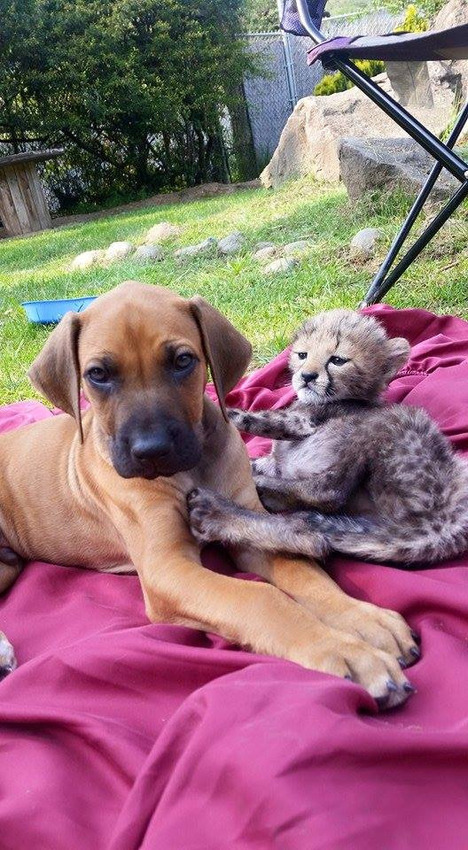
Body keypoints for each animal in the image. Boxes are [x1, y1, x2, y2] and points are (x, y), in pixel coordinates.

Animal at [0, 282, 416, 704]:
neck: (189, 471)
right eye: (97, 374)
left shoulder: (251, 527)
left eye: (183, 361)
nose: (152, 451)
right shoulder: (167, 568)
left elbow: (306, 577)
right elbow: (261, 597)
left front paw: (365, 620)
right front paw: (345, 651)